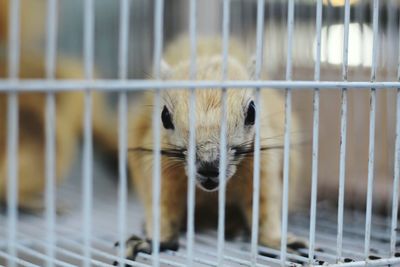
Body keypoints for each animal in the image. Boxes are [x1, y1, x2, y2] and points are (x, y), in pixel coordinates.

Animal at [124, 36, 306, 262]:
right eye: (164, 116)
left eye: (252, 112)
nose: (209, 166)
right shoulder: (160, 166)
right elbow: (162, 208)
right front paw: (153, 241)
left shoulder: (262, 167)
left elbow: (265, 209)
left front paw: (277, 241)